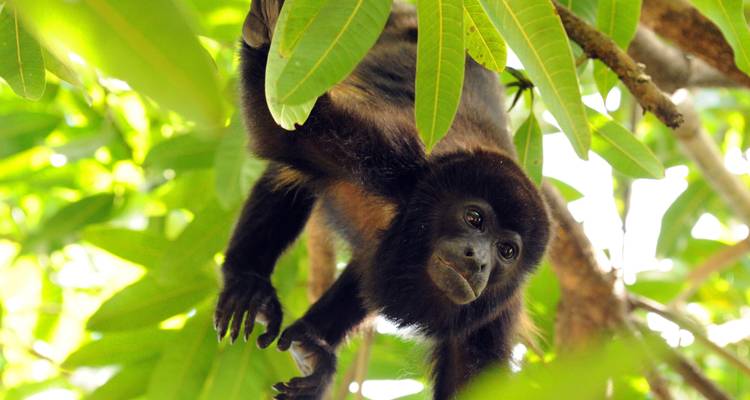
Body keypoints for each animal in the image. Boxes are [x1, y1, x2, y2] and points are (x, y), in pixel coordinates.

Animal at [213, 1, 550, 399]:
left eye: (507, 251)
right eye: (474, 218)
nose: (478, 260)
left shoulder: (495, 316)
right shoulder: (393, 155)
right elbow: (288, 136)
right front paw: (265, 32)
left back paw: (314, 346)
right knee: (290, 174)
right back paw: (248, 281)